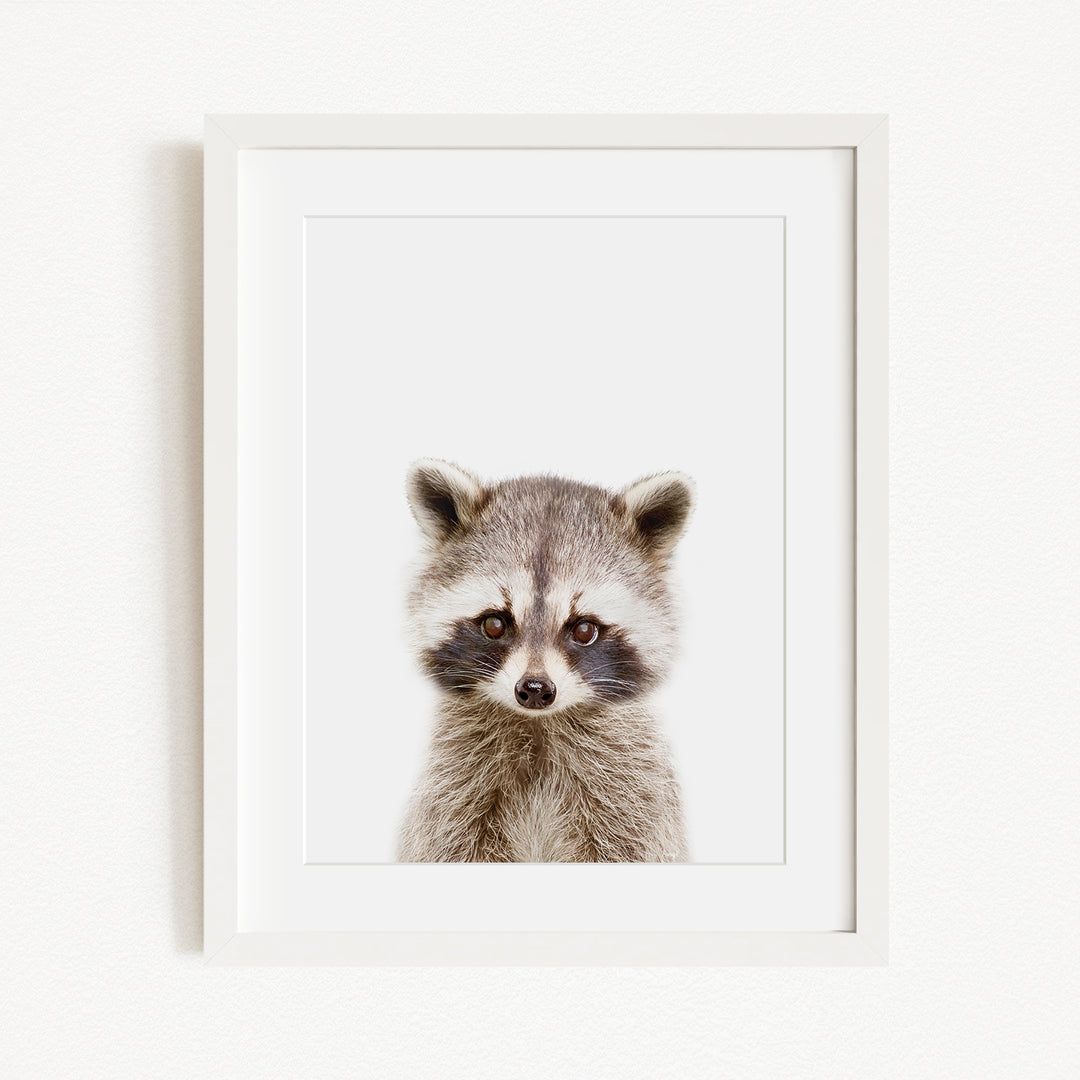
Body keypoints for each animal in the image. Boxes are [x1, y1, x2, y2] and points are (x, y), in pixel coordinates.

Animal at [396, 458, 693, 863]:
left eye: (584, 629)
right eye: (494, 624)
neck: (538, 726)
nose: (535, 689)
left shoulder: (633, 794)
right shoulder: (452, 790)